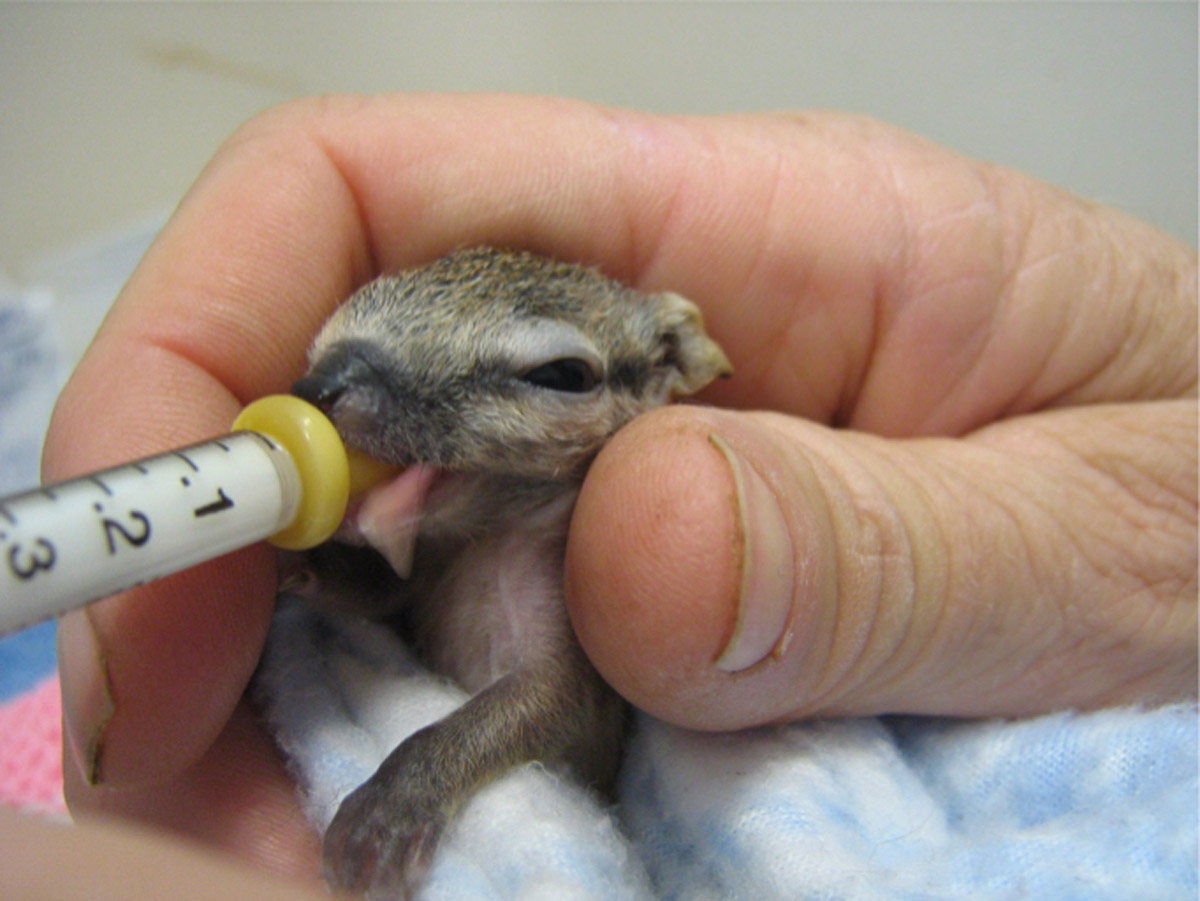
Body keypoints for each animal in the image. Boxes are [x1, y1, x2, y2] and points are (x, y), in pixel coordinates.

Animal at [287, 247, 731, 898]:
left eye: (564, 375)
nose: (320, 383)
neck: (485, 540)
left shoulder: (568, 641)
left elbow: (532, 703)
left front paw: (392, 805)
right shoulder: (424, 571)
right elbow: (380, 593)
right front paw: (307, 567)